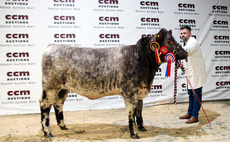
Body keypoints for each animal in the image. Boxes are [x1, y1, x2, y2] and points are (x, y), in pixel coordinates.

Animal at [39, 28, 187, 139]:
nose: (185, 53)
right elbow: (132, 111)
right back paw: (48, 132)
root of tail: (51, 46)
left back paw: (62, 126)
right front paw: (134, 133)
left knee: (58, 104)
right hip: (50, 85)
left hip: (63, 88)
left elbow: (139, 110)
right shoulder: (129, 90)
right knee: (45, 105)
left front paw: (142, 127)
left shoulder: (139, 91)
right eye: (169, 41)